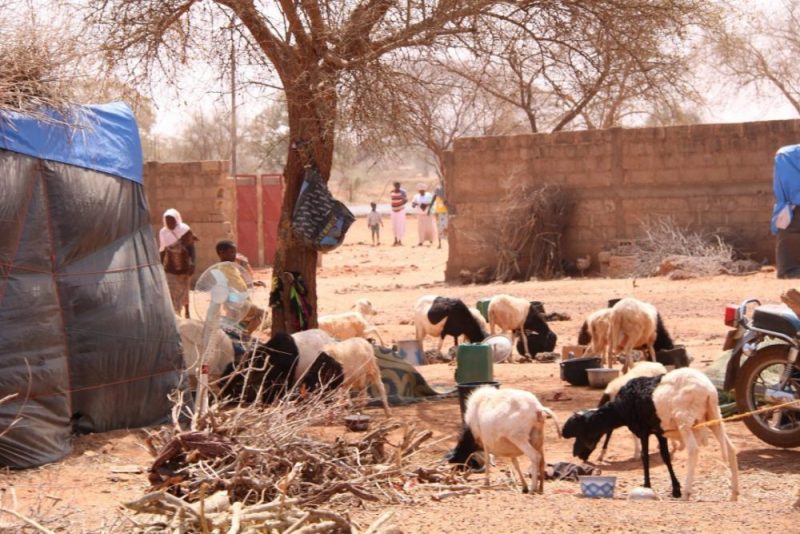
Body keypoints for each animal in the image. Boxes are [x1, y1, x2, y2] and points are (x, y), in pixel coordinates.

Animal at [564, 368, 736, 502]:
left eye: (582, 431)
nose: (576, 454)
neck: (620, 408)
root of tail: (708, 390)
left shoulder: (643, 430)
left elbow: (645, 457)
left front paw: (647, 485)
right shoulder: (659, 431)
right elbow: (665, 457)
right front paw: (675, 489)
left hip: (684, 420)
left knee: (693, 449)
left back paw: (688, 492)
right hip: (714, 415)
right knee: (730, 447)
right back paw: (735, 493)